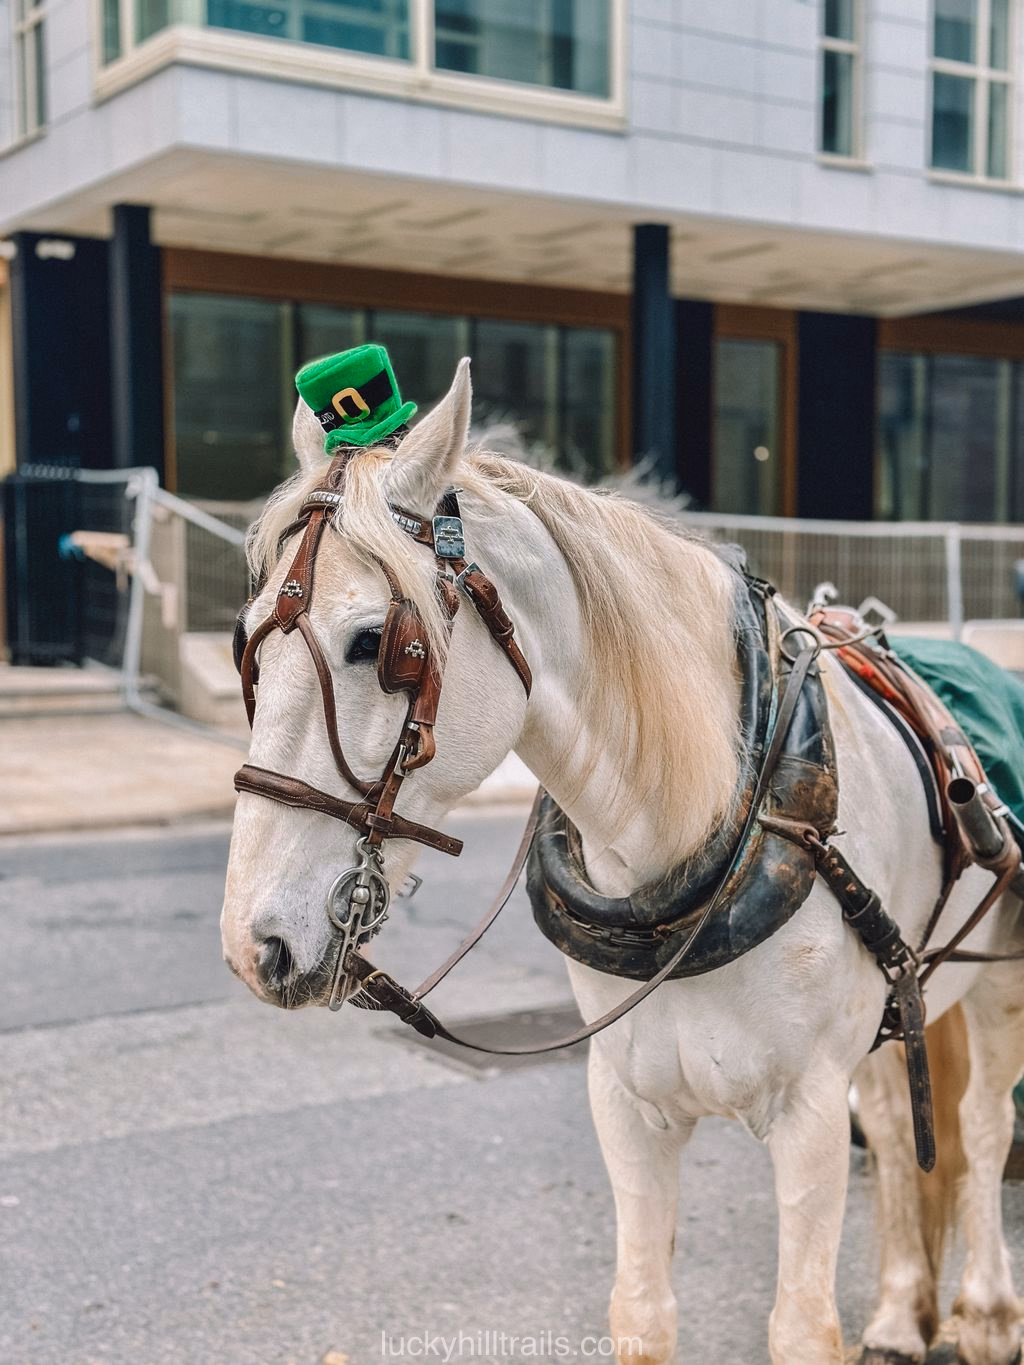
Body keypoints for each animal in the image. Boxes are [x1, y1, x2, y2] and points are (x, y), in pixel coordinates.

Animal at [221, 358, 1024, 1365]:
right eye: (247, 637)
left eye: (378, 643)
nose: (254, 945)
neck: (687, 855)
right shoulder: (629, 1107)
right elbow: (641, 1312)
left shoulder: (806, 1115)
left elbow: (801, 1325)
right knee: (889, 1118)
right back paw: (900, 1308)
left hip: (999, 980)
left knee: (982, 1125)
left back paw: (987, 1310)